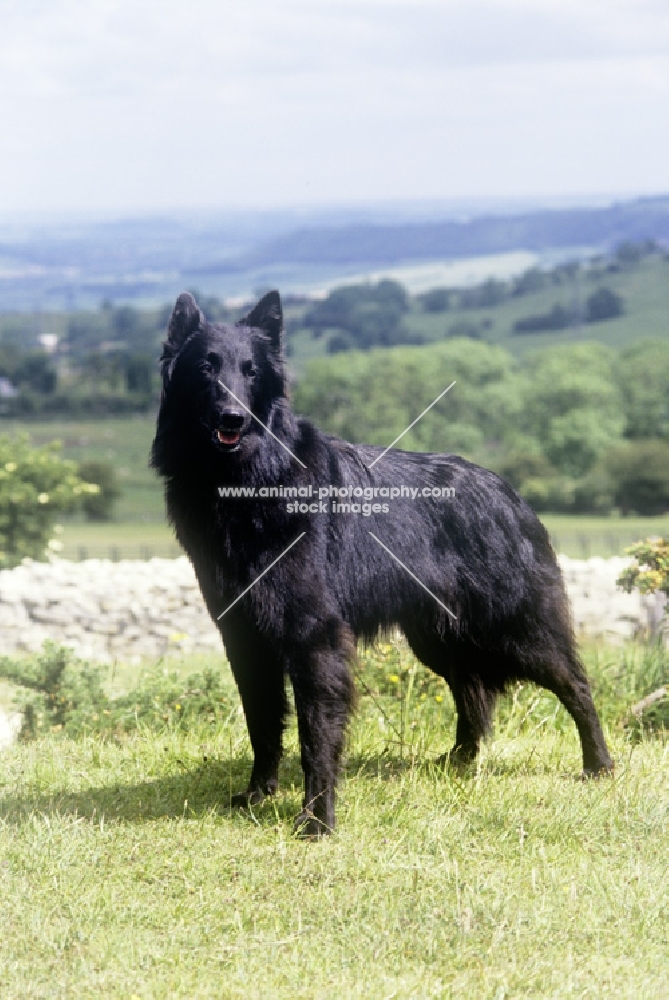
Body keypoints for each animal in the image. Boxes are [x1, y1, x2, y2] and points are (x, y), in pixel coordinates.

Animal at [150, 290, 612, 836]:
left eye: (251, 372)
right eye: (206, 368)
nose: (234, 418)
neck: (253, 482)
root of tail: (508, 491)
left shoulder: (315, 638)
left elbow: (315, 734)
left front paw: (317, 819)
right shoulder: (245, 637)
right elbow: (262, 724)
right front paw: (258, 794)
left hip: (513, 629)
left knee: (574, 684)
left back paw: (599, 765)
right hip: (439, 638)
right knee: (473, 693)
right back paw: (458, 762)